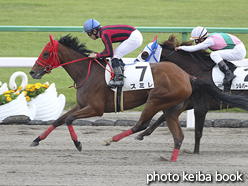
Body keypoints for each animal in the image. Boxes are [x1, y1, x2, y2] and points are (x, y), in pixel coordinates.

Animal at [29, 34, 248, 161]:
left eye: (46, 53)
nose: (33, 72)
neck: (86, 73)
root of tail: (187, 76)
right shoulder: (82, 105)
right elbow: (58, 120)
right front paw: (36, 140)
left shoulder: (95, 108)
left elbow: (67, 119)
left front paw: (78, 144)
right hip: (171, 105)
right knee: (171, 130)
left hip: (156, 99)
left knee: (141, 123)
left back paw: (110, 140)